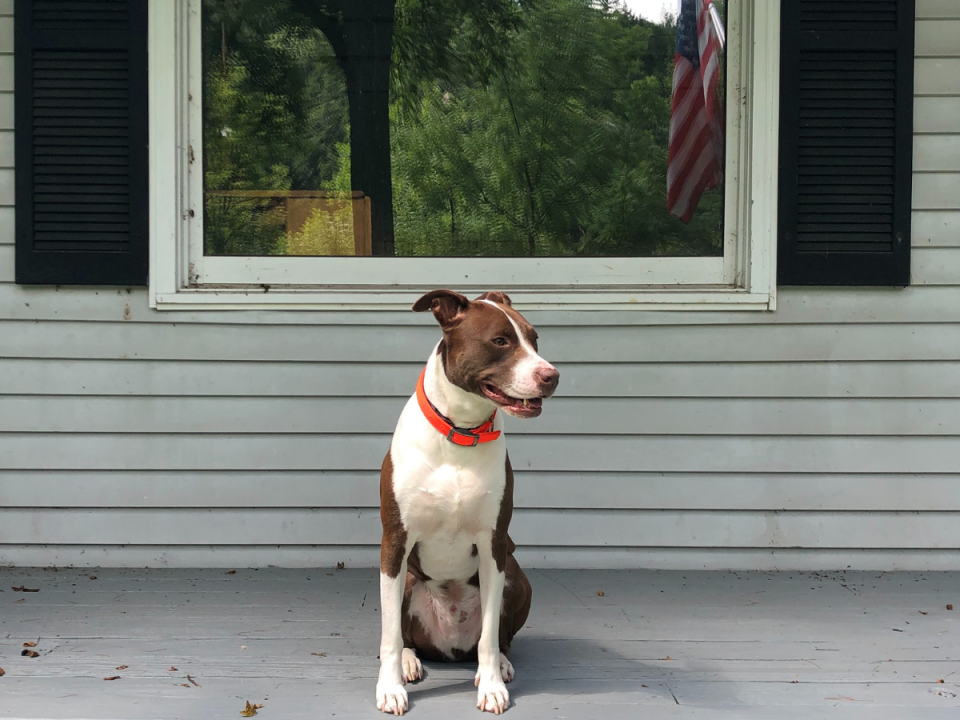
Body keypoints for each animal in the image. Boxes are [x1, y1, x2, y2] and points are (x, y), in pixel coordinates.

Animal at [374, 292, 556, 716]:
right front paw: (390, 688)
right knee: (405, 636)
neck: (460, 431)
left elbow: (489, 635)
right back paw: (409, 661)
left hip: (516, 574)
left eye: (535, 340)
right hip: (407, 578)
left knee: (499, 637)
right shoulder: (394, 542)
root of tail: (449, 646)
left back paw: (501, 664)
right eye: (500, 341)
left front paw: (490, 686)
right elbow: (389, 635)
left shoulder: (493, 545)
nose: (551, 375)